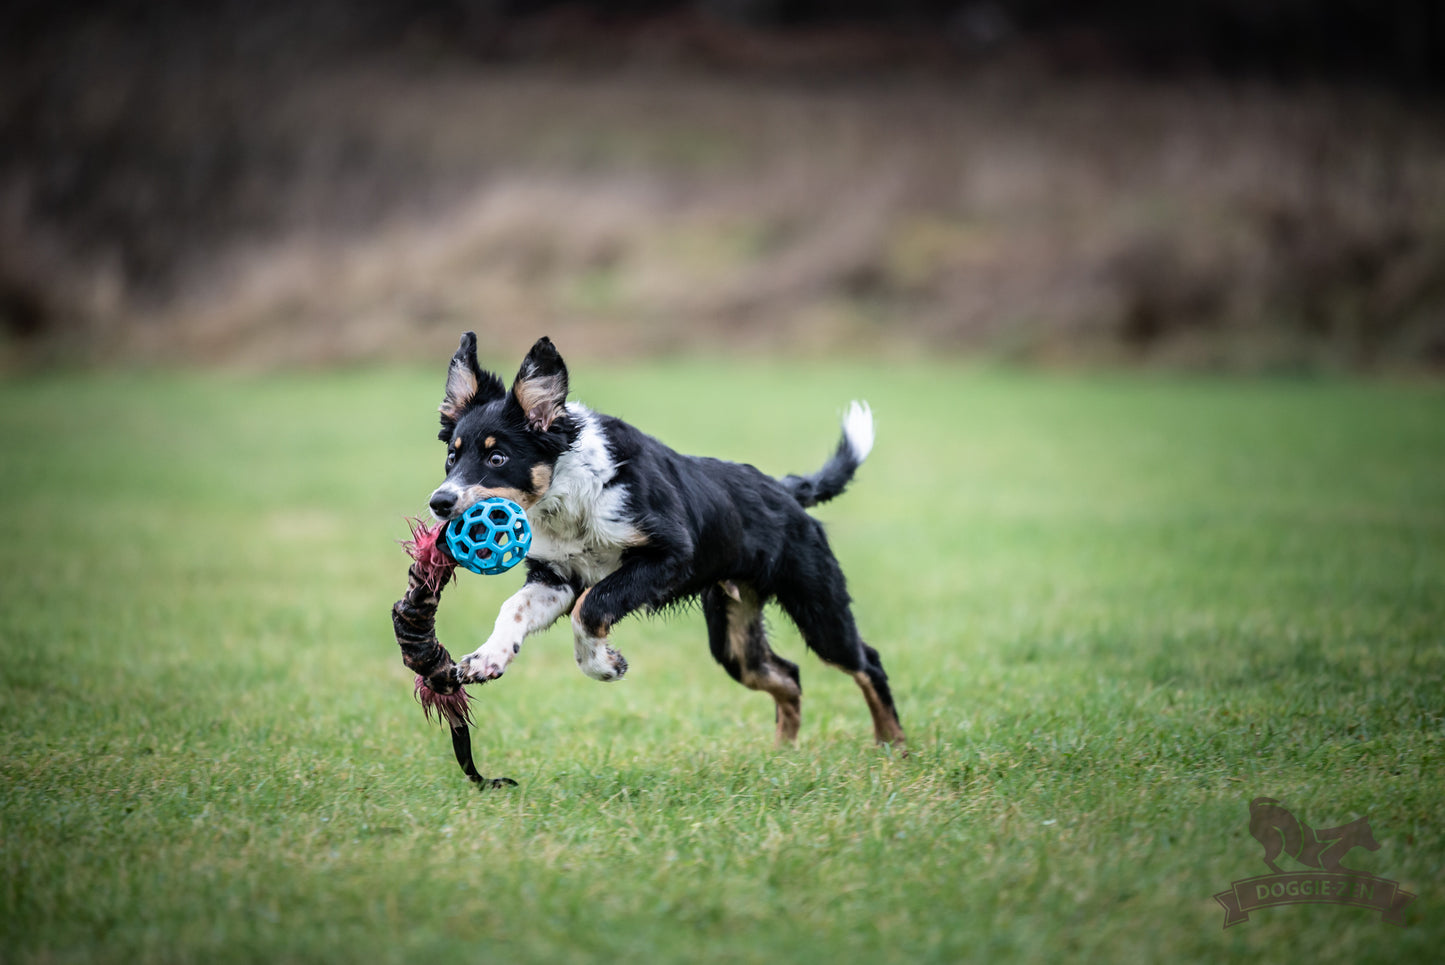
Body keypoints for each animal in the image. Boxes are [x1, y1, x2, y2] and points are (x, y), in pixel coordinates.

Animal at [421, 332, 907, 745]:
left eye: (497, 457)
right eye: (451, 457)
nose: (439, 503)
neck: (573, 492)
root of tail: (784, 489)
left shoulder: (672, 556)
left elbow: (590, 607)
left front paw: (605, 665)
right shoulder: (556, 576)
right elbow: (516, 608)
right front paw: (487, 658)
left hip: (819, 607)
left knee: (867, 662)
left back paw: (892, 746)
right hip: (734, 637)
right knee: (787, 675)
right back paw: (783, 754)